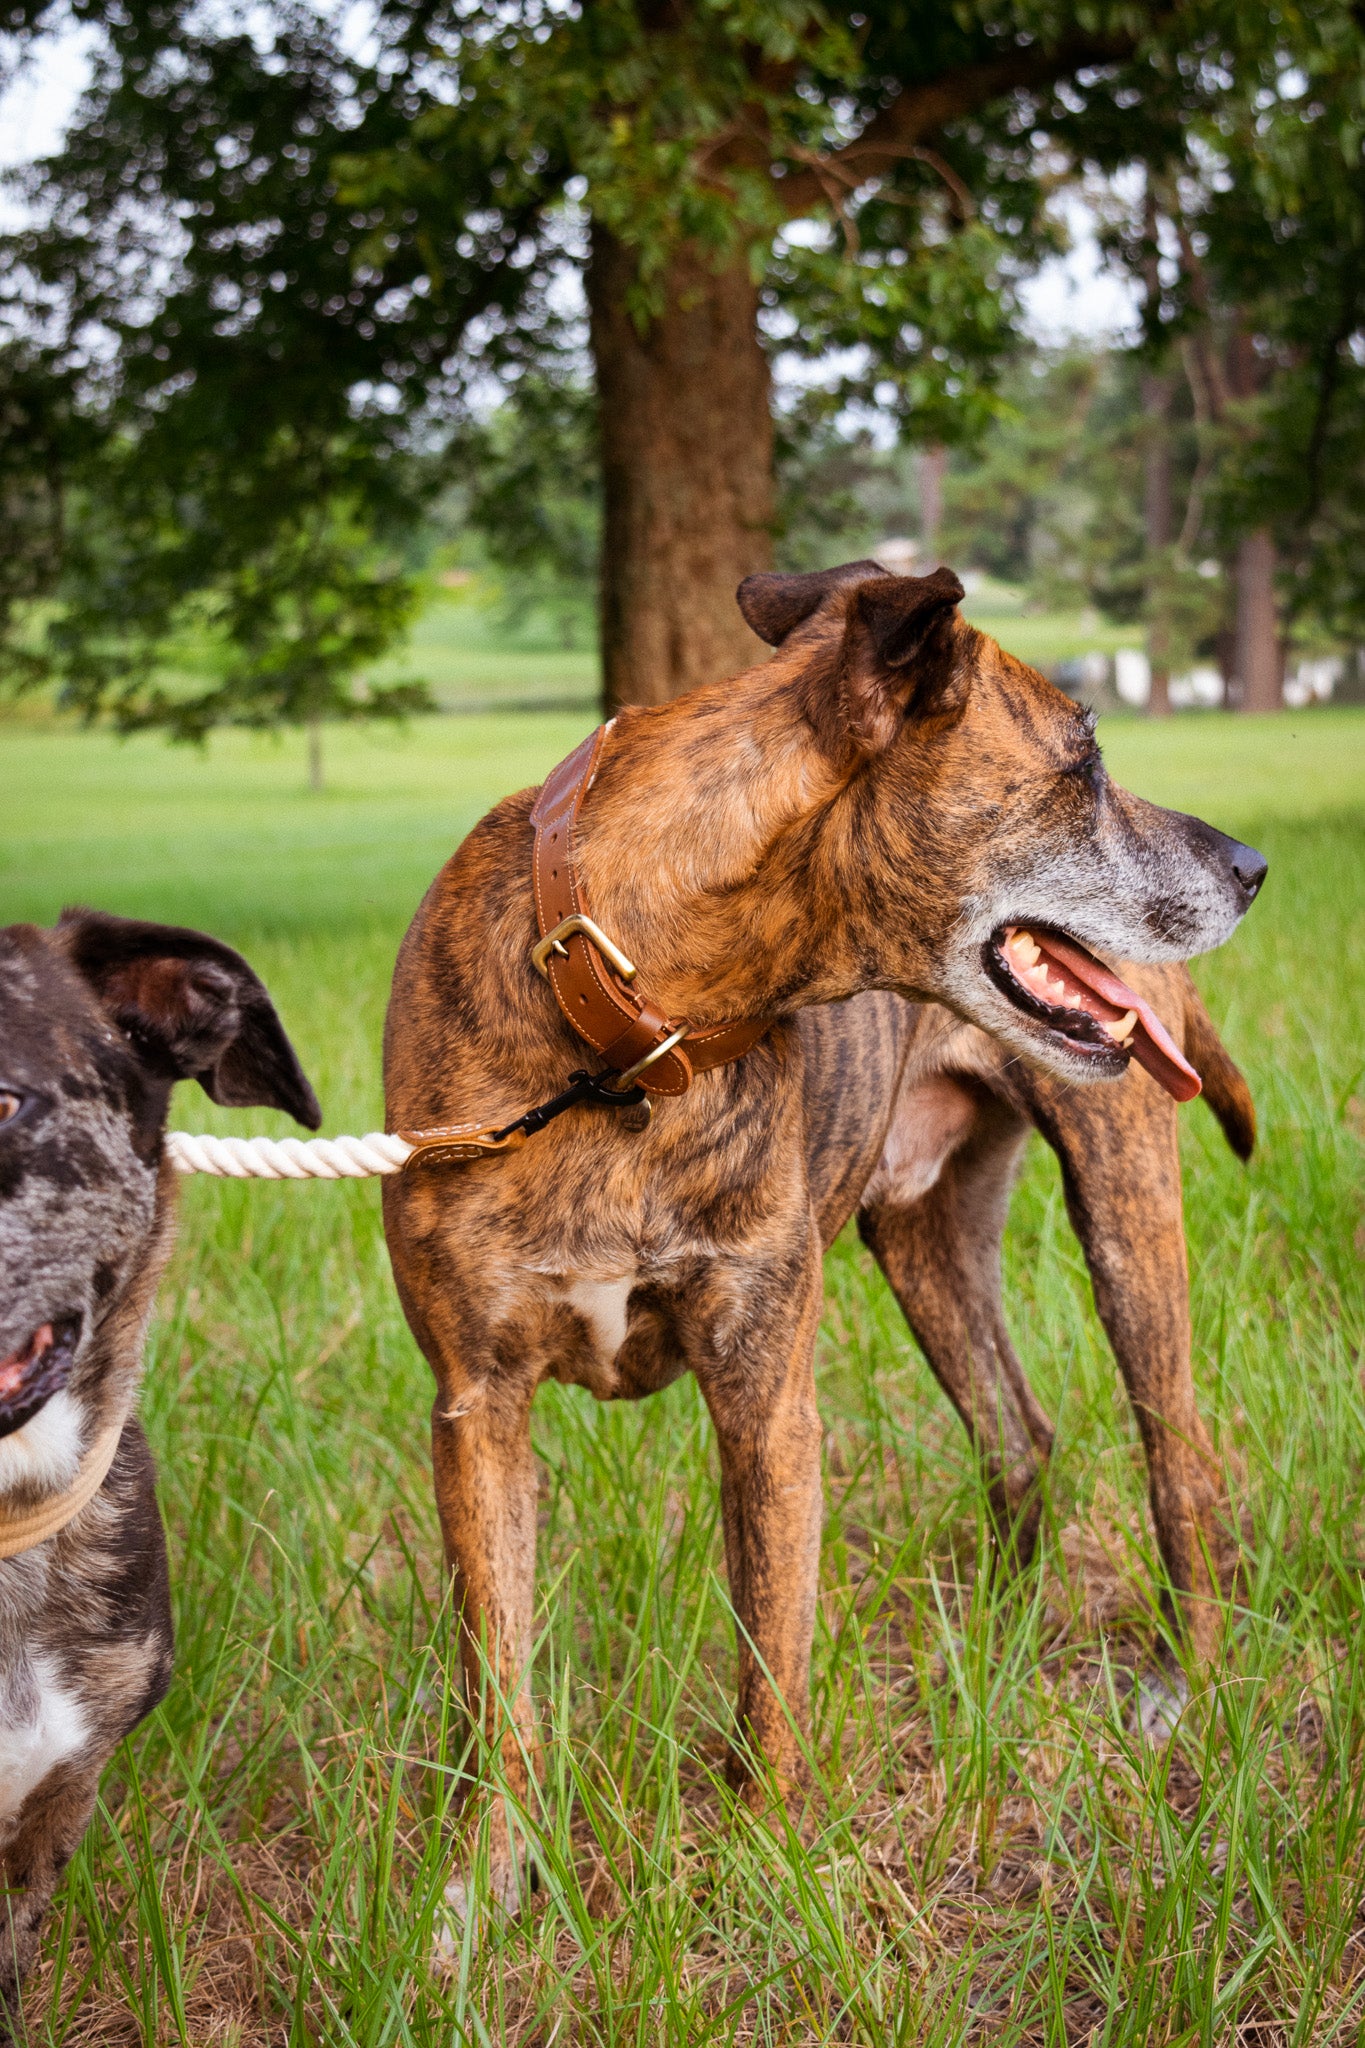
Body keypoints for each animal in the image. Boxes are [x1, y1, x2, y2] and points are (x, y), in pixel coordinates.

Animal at [378, 561, 1268, 1916]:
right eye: (1086, 758)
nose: (1253, 863)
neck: (625, 1035)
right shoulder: (478, 1405)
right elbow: (501, 1681)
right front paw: (484, 1885)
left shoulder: (764, 1398)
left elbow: (771, 1664)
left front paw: (761, 1865)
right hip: (926, 1243)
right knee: (1019, 1432)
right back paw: (1001, 1642)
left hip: (1123, 1217)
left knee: (1180, 1456)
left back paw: (1183, 1685)